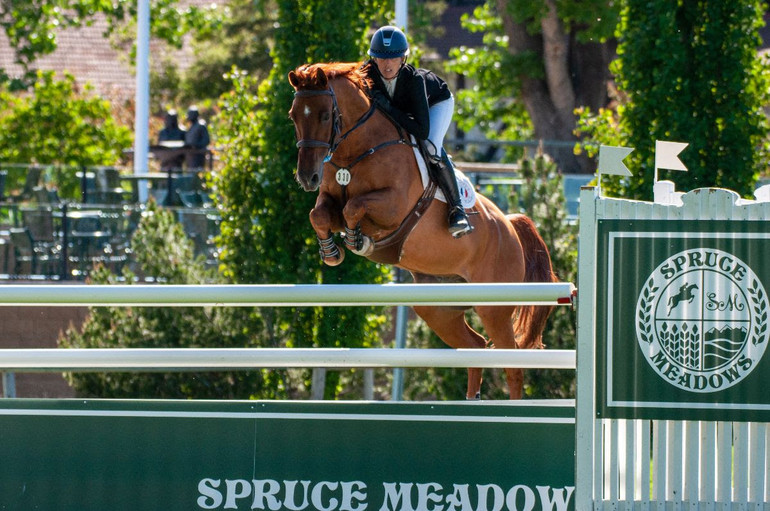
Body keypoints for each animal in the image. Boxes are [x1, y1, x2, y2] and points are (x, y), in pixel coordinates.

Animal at [286, 63, 552, 400]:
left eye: (323, 115)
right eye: (293, 115)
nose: (307, 177)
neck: (357, 151)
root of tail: (510, 226)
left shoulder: (392, 206)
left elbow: (354, 208)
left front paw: (358, 240)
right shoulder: (328, 200)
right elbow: (318, 214)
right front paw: (331, 252)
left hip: (494, 308)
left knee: (513, 365)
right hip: (437, 307)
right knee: (476, 346)